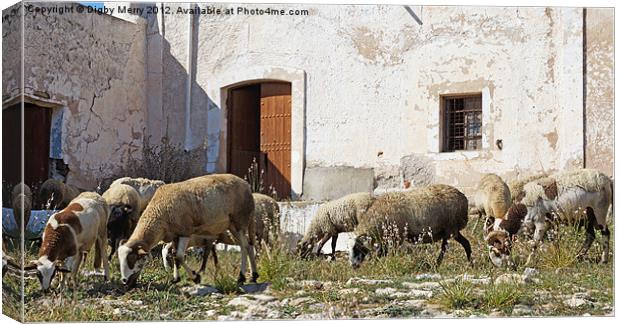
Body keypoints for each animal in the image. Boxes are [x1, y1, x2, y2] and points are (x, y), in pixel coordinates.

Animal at [117, 173, 258, 288]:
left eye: (132, 260)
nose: (124, 281)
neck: (159, 214)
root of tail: (246, 185)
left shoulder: (185, 231)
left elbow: (179, 256)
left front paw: (196, 277)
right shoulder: (175, 234)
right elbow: (174, 255)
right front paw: (176, 278)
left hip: (240, 220)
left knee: (244, 247)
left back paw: (241, 277)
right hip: (233, 225)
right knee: (248, 246)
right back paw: (253, 276)